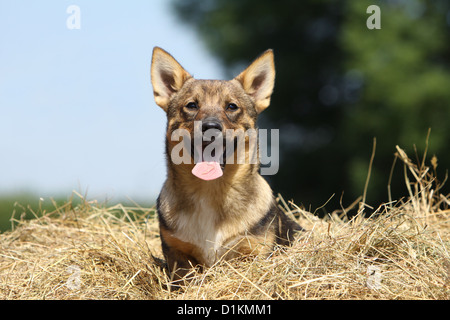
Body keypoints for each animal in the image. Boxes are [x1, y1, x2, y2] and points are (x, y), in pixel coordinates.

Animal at [149, 46, 300, 282]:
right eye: (191, 105)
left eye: (231, 106)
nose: (211, 127)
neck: (210, 190)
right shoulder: (178, 255)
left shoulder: (252, 250)